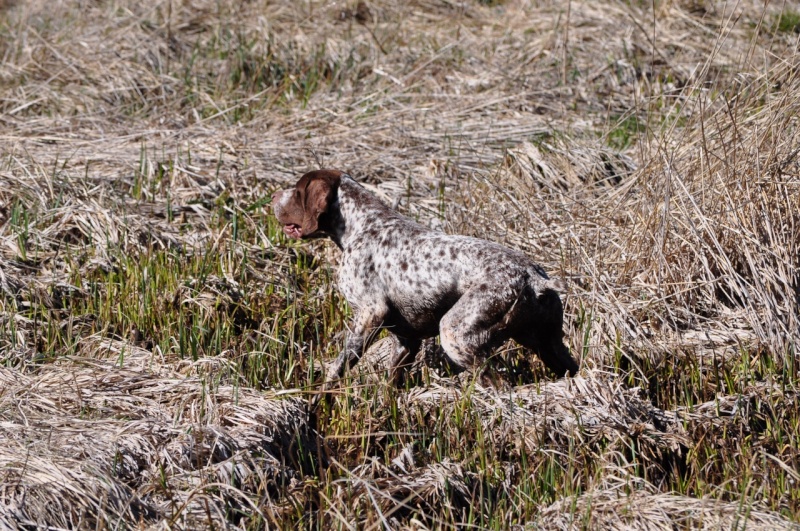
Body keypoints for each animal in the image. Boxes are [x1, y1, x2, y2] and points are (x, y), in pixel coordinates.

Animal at [272, 169, 580, 386]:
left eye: (297, 191)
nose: (273, 197)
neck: (362, 225)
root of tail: (533, 277)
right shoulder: (406, 339)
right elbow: (392, 381)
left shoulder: (370, 313)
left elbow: (339, 366)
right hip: (547, 343)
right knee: (570, 368)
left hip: (457, 334)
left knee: (499, 383)